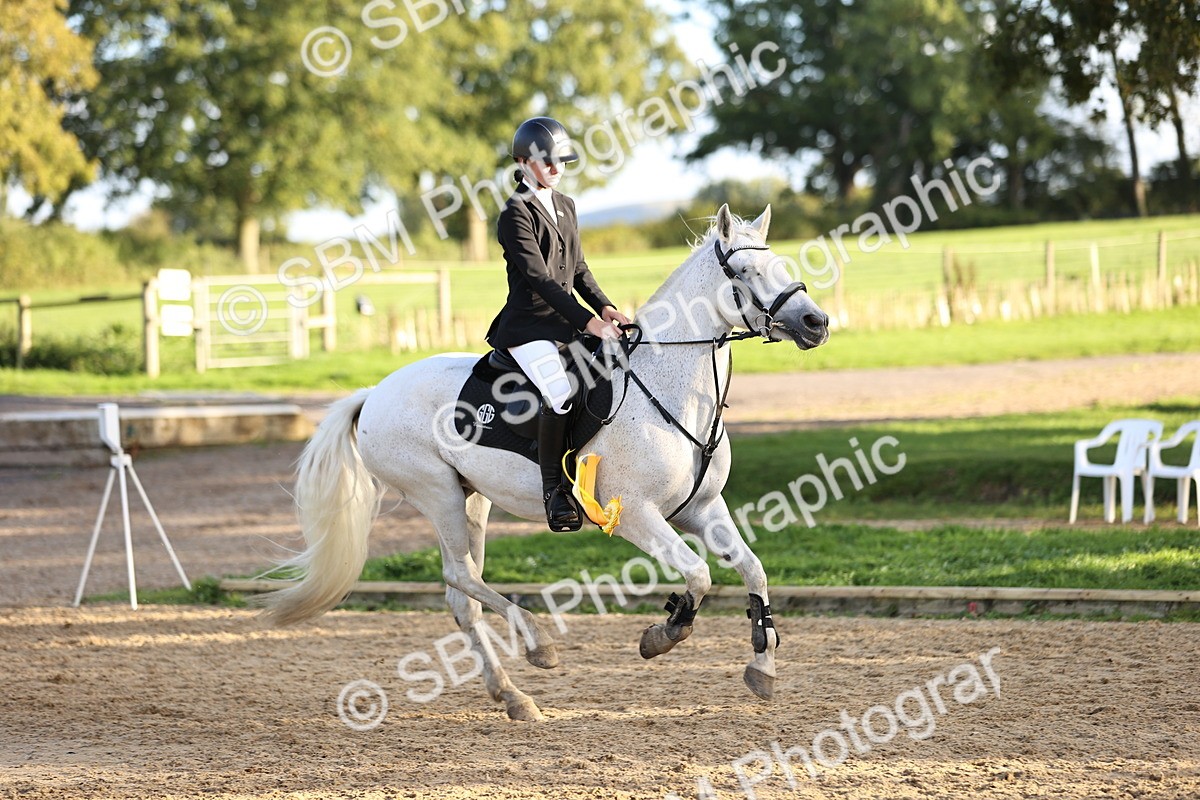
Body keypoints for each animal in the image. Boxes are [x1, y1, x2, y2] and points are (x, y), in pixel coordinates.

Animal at [257, 204, 831, 721]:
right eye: (745, 271)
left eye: (780, 263)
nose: (816, 322)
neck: (669, 388)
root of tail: (373, 393)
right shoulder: (636, 515)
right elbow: (699, 575)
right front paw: (662, 635)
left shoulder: (702, 509)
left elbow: (753, 571)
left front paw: (762, 667)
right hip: (435, 493)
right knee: (460, 575)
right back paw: (537, 643)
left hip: (471, 500)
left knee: (461, 595)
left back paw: (512, 696)